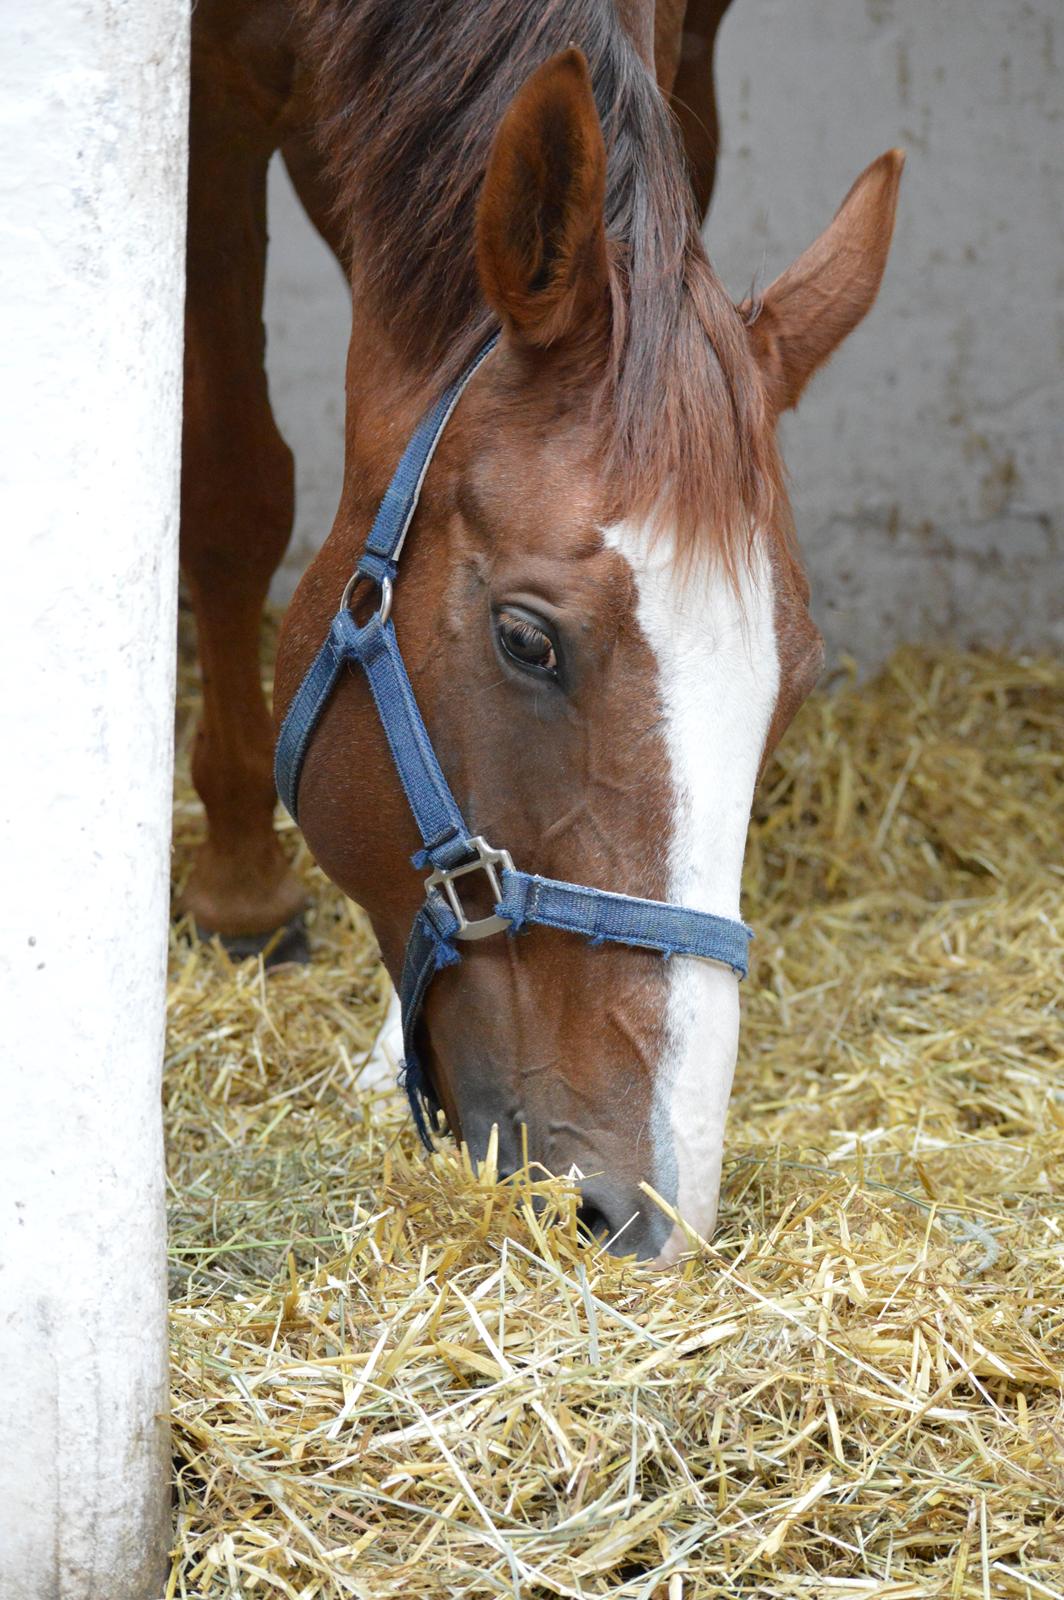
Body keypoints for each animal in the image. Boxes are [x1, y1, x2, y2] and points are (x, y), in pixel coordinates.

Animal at [180, 0, 896, 1260]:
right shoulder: (211, 88)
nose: (640, 1210)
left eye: (794, 682)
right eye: (525, 640)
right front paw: (238, 886)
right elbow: (230, 488)